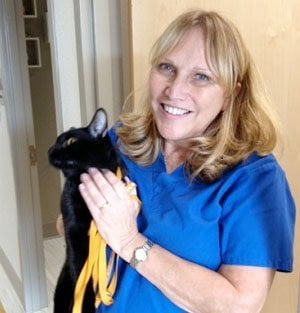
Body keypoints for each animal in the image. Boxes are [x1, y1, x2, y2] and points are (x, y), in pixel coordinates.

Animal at [48, 108, 123, 312]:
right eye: (56, 141)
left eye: (70, 141)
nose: (49, 150)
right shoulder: (74, 233)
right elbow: (82, 275)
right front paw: (86, 305)